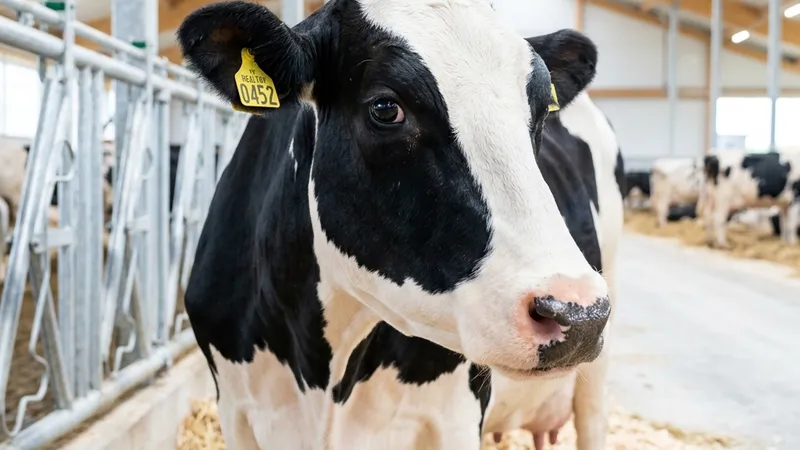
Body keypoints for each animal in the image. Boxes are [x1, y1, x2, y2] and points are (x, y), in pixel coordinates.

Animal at [177, 1, 612, 449]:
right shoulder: (235, 408)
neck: (321, 374)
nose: (577, 312)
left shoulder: (456, 416)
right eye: (386, 108)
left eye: (541, 111)